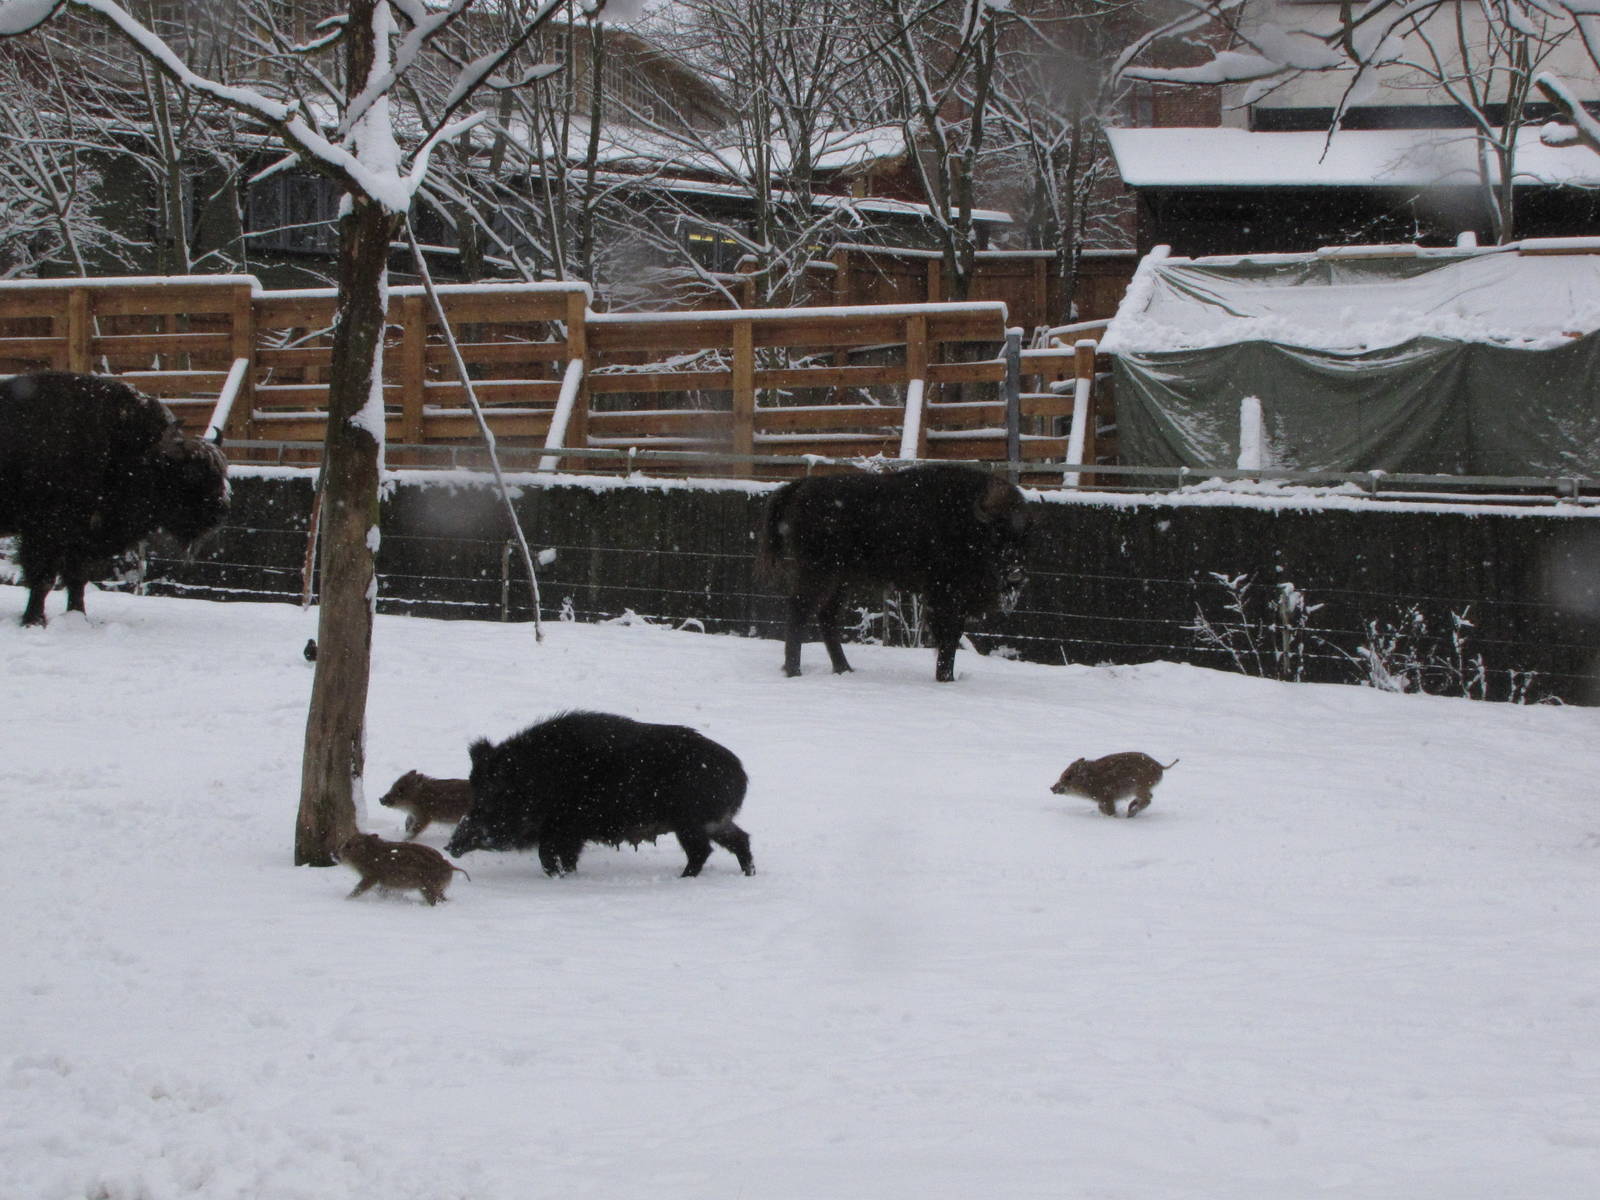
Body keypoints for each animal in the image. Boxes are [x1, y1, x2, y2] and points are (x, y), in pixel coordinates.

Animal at [0, 371, 229, 625]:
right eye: (189, 472)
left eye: (221, 471)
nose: (220, 511)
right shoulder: (43, 533)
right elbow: (43, 580)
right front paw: (34, 621)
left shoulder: (80, 538)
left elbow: (76, 580)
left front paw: (79, 618)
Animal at [445, 710, 755, 878]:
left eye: (493, 796)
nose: (450, 846)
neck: (541, 780)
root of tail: (740, 774)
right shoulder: (567, 833)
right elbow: (561, 857)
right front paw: (567, 875)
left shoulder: (567, 828)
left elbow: (548, 856)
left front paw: (559, 877)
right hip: (713, 821)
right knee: (740, 840)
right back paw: (748, 874)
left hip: (690, 822)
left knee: (703, 851)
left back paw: (682, 879)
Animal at [758, 463, 1030, 682]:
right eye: (996, 535)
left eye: (1023, 536)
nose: (1015, 572)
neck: (968, 523)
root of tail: (801, 486)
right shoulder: (943, 595)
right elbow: (947, 636)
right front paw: (945, 677)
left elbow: (953, 636)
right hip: (818, 573)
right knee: (800, 611)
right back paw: (795, 671)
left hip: (841, 579)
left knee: (827, 616)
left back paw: (844, 669)